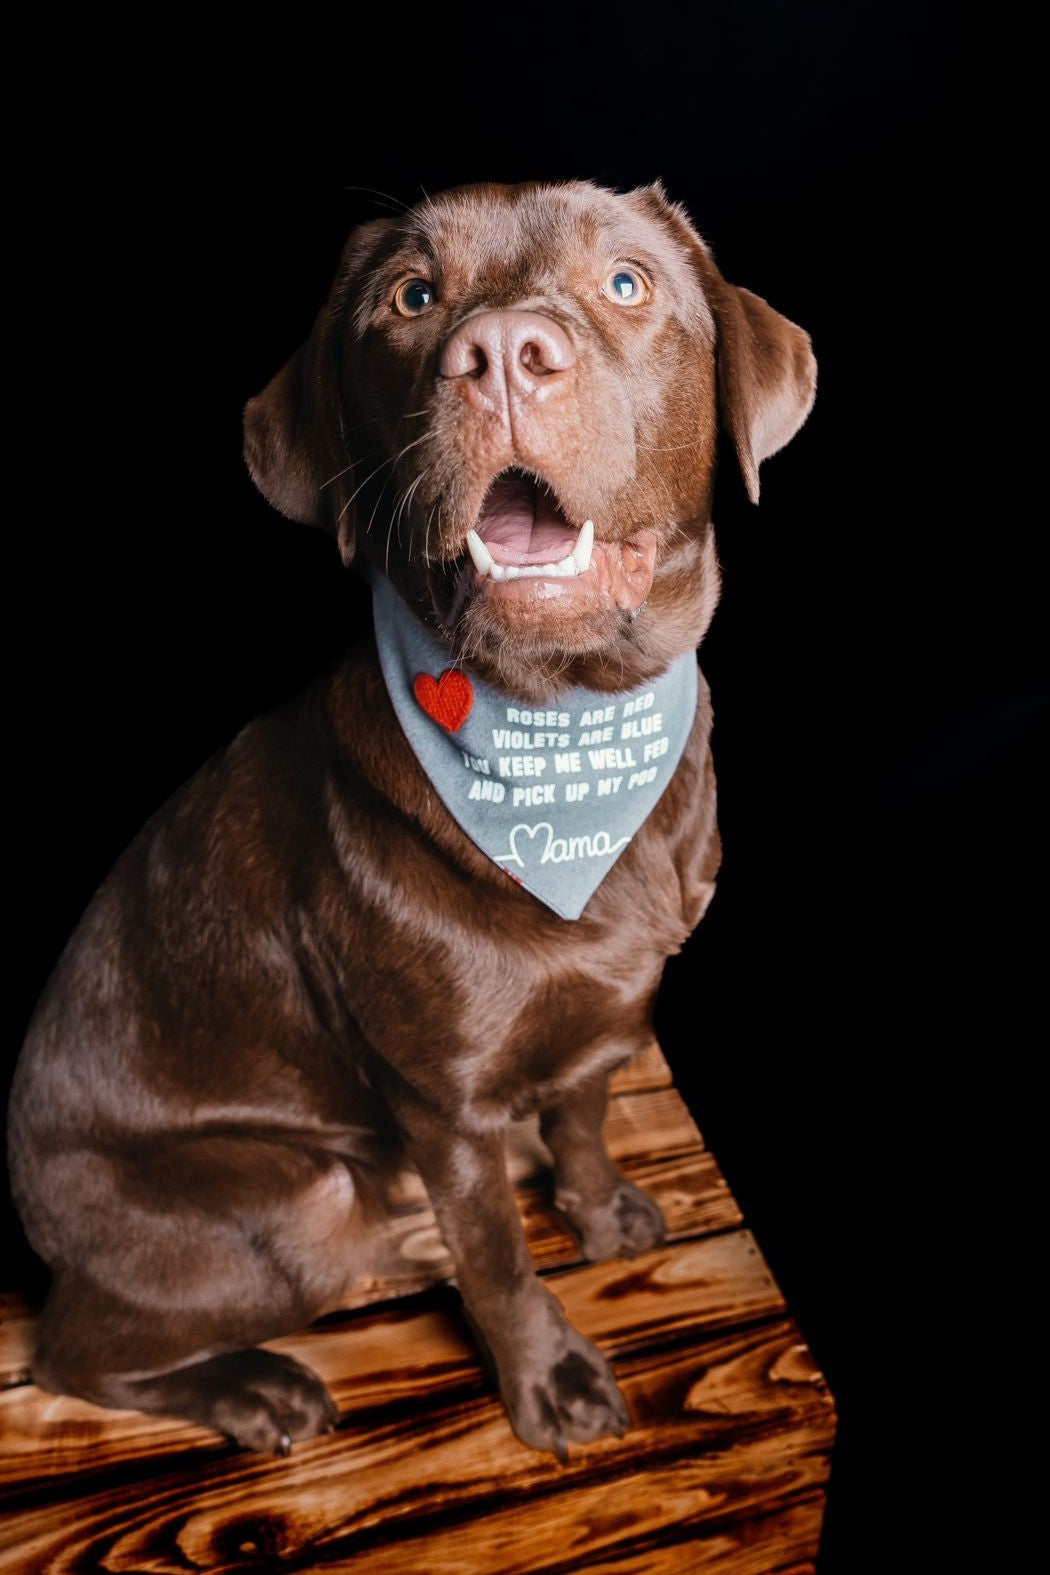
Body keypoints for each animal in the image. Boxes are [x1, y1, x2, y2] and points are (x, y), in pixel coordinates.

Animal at [4, 178, 818, 1455]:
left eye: (627, 281)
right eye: (413, 297)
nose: (502, 354)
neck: (567, 741)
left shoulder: (609, 1011)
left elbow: (583, 1117)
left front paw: (597, 1210)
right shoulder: (445, 1101)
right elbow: (498, 1261)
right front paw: (548, 1376)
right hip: (292, 1199)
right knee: (66, 1353)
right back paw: (256, 1388)